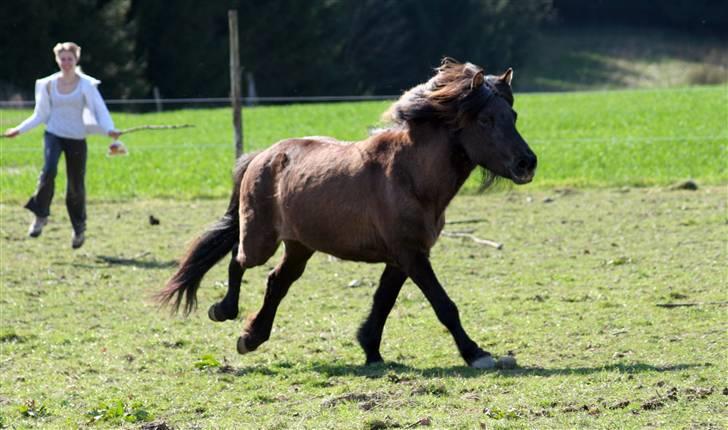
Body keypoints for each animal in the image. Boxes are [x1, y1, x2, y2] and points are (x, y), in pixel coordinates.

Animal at [158, 58, 536, 370]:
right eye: (486, 119)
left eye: (514, 116)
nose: (527, 163)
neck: (410, 174)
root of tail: (261, 156)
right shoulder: (411, 255)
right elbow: (443, 305)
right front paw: (477, 354)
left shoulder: (403, 256)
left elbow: (383, 301)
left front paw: (371, 349)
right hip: (261, 239)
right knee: (238, 261)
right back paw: (224, 311)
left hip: (300, 246)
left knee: (276, 282)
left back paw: (251, 337)